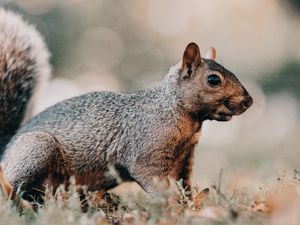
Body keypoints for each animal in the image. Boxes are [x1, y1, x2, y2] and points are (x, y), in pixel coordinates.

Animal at [0, 8, 253, 203]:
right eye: (213, 80)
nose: (248, 101)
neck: (176, 113)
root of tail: (5, 151)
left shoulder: (185, 159)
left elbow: (186, 184)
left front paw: (190, 205)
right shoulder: (146, 152)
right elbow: (153, 180)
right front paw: (171, 206)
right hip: (37, 149)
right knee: (12, 185)